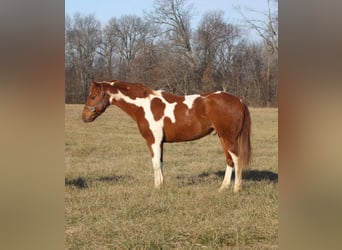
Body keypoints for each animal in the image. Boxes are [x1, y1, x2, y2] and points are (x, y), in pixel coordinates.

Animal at [81, 79, 250, 192]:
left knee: (237, 159)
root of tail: (239, 100)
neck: (144, 106)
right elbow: (160, 163)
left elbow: (155, 163)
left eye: (93, 96)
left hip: (229, 138)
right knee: (229, 161)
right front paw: (161, 185)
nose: (84, 117)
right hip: (223, 138)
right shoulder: (160, 142)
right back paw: (223, 188)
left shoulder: (153, 141)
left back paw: (236, 188)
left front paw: (157, 187)